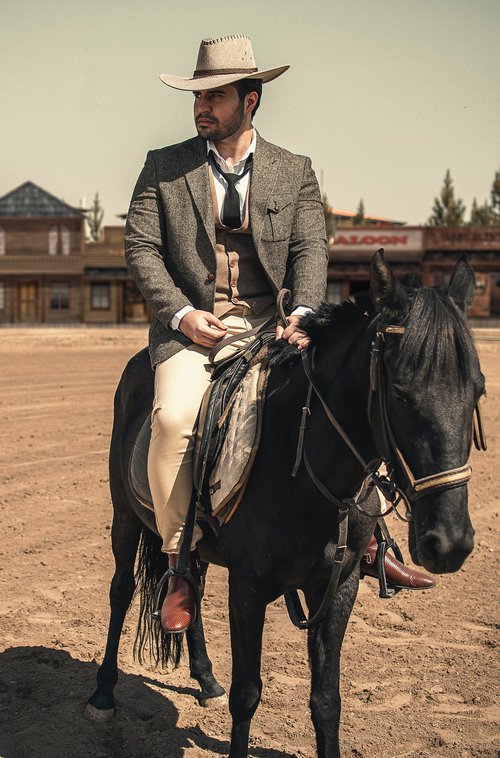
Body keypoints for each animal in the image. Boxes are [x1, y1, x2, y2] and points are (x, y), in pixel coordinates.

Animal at [86, 255, 484, 758]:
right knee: (121, 590)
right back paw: (102, 693)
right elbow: (247, 695)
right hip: (124, 518)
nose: (450, 543)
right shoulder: (249, 588)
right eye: (400, 393)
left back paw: (204, 677)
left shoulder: (338, 587)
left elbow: (327, 700)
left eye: (478, 391)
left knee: (188, 584)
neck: (305, 464)